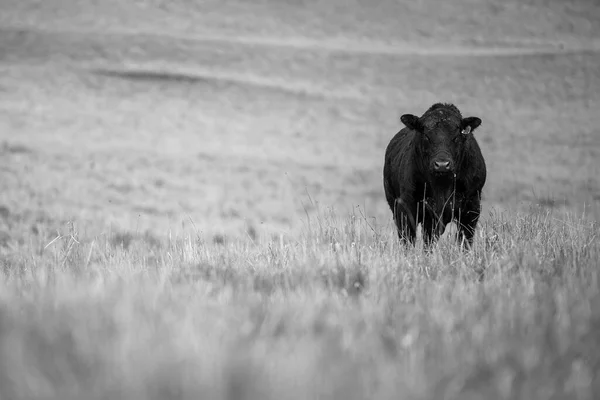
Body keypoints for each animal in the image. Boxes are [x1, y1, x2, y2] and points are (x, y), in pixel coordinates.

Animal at [384, 102, 488, 247]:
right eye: (426, 135)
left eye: (456, 136)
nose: (442, 164)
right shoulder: (406, 206)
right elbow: (408, 239)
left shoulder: (472, 206)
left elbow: (465, 240)